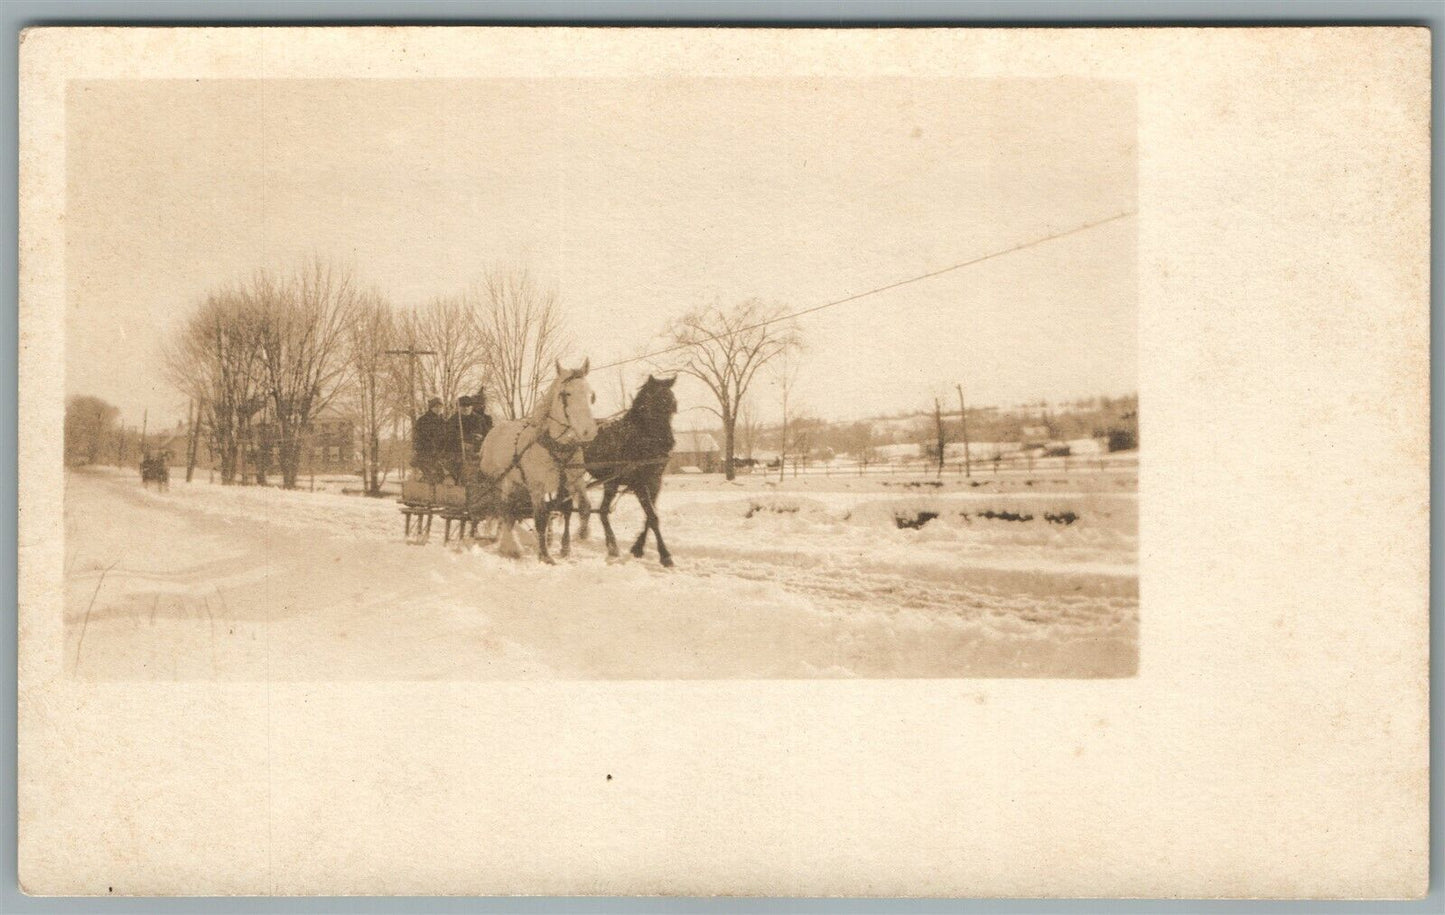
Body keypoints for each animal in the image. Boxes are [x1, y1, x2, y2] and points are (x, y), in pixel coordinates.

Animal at [476, 358, 595, 560]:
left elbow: (580, 508)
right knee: (505, 509)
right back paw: (510, 546)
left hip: (516, 484)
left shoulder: (573, 481)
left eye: (591, 394)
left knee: (511, 511)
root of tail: (492, 433)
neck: (557, 446)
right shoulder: (537, 486)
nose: (589, 431)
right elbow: (540, 518)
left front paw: (574, 540)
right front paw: (545, 556)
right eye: (566, 394)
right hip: (501, 482)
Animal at [563, 370, 676, 563]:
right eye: (655, 404)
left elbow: (650, 516)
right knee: (566, 508)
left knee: (600, 511)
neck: (637, 436)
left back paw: (609, 546)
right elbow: (652, 516)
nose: (669, 443)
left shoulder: (654, 482)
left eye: (672, 406)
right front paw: (665, 555)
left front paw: (637, 548)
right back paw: (565, 544)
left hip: (609, 482)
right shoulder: (638, 483)